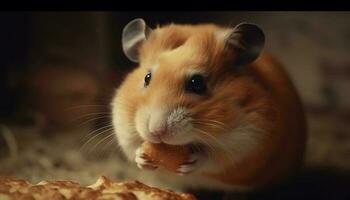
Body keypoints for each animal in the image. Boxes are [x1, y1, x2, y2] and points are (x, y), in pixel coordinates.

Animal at [111, 19, 306, 192]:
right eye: (147, 78)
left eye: (197, 83)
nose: (156, 132)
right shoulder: (123, 127)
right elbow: (133, 147)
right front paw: (142, 157)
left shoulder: (249, 141)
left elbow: (213, 158)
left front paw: (191, 163)